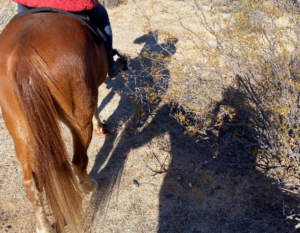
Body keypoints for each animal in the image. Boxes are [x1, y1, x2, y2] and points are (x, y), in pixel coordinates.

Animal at [0, 11, 108, 233]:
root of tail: (23, 55)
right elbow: (96, 105)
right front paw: (100, 125)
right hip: (79, 119)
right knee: (78, 161)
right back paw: (89, 187)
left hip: (20, 133)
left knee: (30, 182)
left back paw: (44, 226)